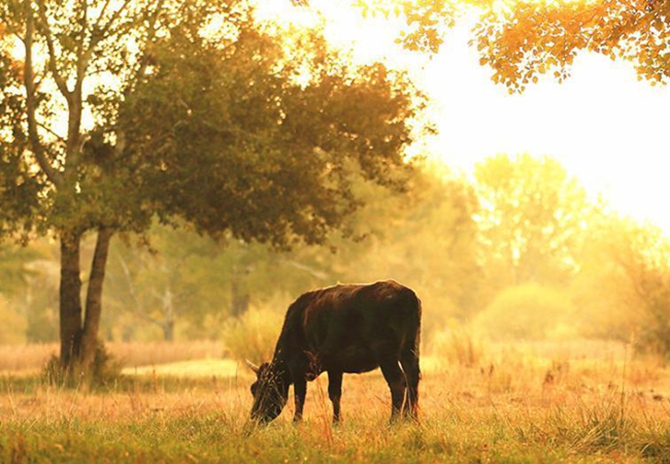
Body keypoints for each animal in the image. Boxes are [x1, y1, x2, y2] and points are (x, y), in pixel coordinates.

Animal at [249, 280, 422, 424]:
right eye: (253, 389)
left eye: (264, 388)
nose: (253, 415)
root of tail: (407, 295)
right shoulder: (335, 366)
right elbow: (335, 394)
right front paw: (337, 423)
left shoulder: (298, 368)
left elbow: (300, 398)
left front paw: (296, 423)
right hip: (410, 349)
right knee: (412, 378)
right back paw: (411, 419)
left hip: (386, 354)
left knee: (397, 381)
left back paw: (393, 422)